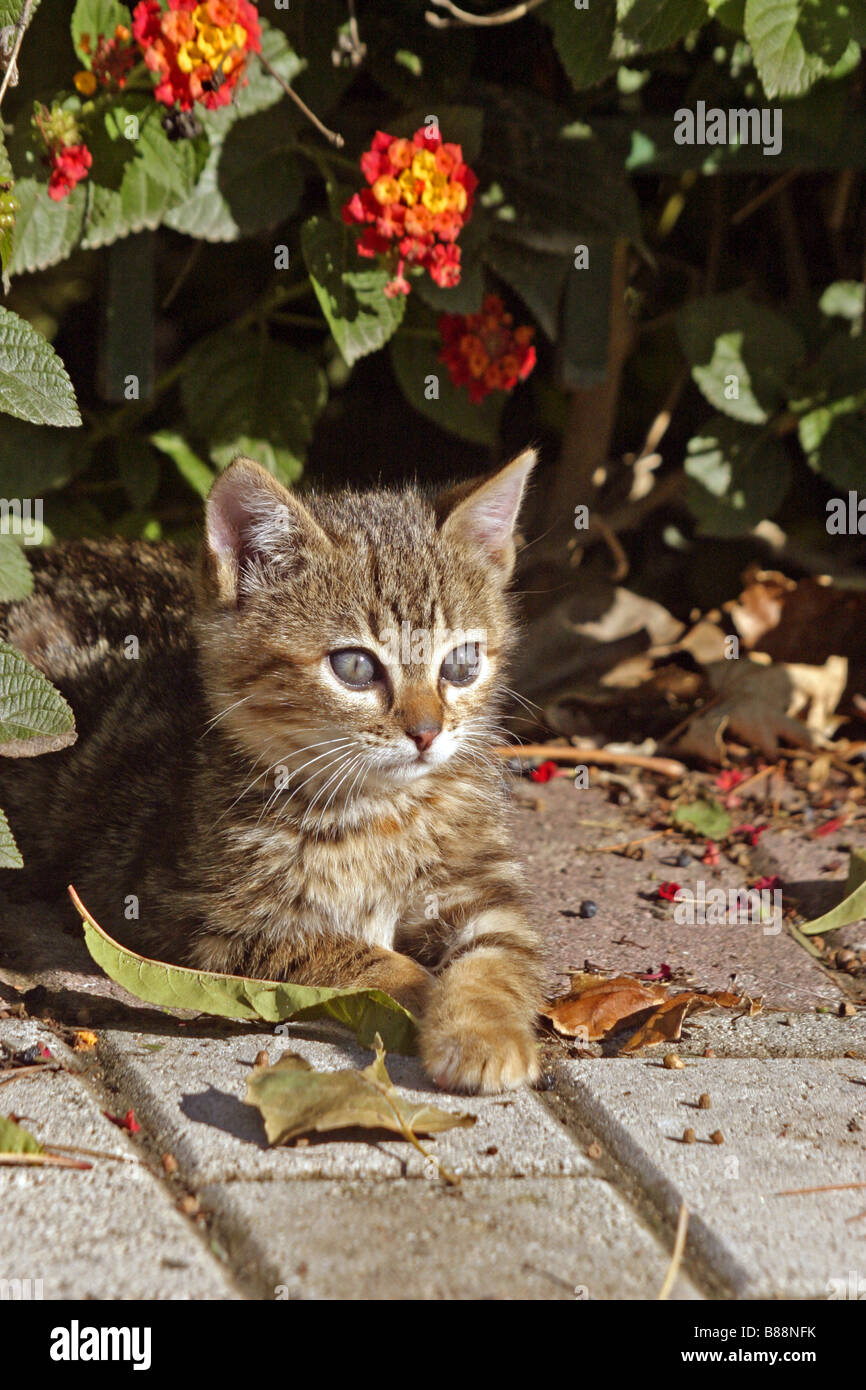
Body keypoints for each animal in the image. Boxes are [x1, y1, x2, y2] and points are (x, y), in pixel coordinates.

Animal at [0, 450, 542, 1089]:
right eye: (355, 667)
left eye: (461, 663)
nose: (428, 732)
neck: (381, 810)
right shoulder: (204, 923)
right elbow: (351, 956)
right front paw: (418, 987)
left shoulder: (483, 886)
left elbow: (499, 957)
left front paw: (481, 1031)